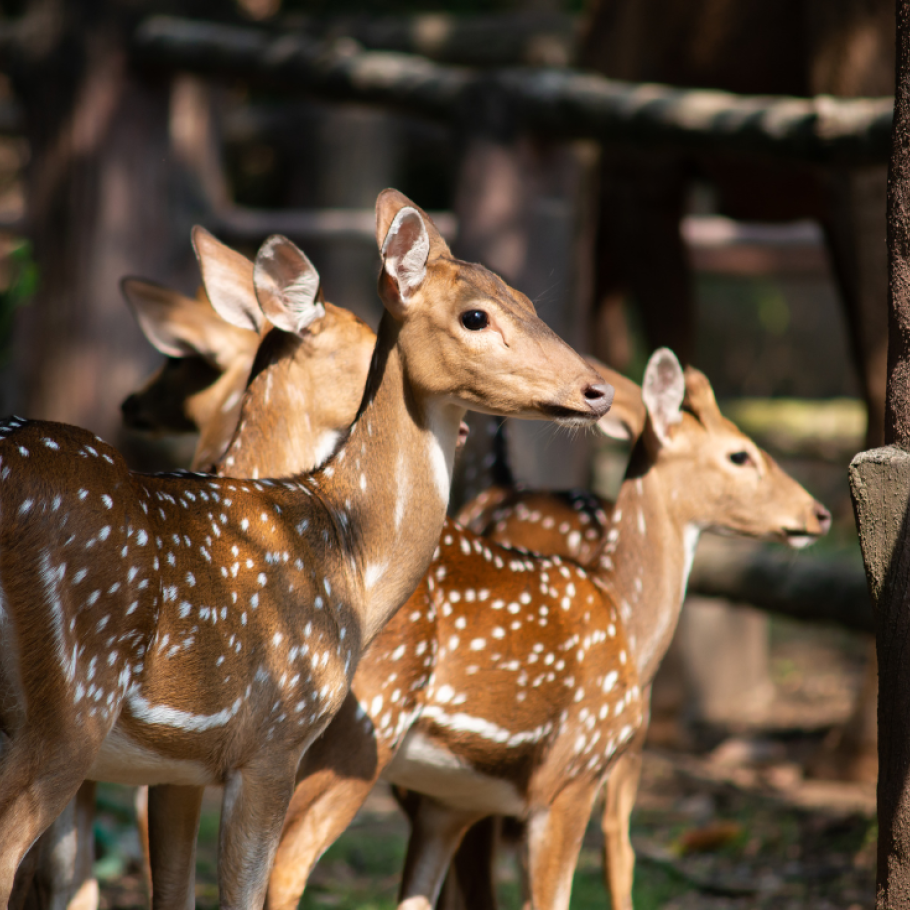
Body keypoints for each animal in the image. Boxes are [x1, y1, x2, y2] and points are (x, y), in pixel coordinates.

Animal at [0, 189, 616, 908]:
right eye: (475, 316)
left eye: (529, 301)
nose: (598, 389)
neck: (349, 558)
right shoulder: (274, 737)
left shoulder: (181, 765)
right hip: (70, 703)